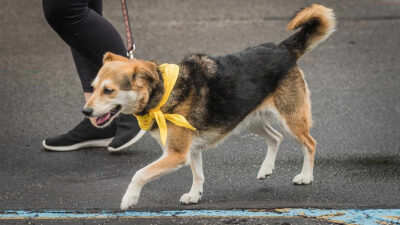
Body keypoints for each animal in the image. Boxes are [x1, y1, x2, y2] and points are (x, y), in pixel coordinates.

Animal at [83, 4, 334, 210]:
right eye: (92, 88)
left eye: (108, 90)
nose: (85, 112)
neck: (162, 94)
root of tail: (283, 49)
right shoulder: (191, 149)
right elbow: (198, 175)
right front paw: (195, 195)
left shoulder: (176, 154)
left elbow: (139, 174)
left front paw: (129, 199)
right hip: (248, 119)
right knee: (275, 137)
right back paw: (266, 169)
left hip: (290, 119)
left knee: (310, 143)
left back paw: (306, 176)